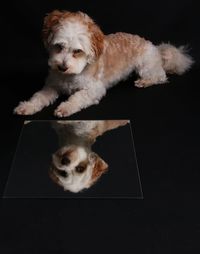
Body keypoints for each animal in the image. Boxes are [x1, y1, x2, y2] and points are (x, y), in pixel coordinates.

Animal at [13, 9, 192, 117]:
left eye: (77, 51)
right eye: (59, 46)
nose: (62, 67)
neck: (70, 76)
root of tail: (155, 47)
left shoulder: (94, 89)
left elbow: (78, 97)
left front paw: (65, 107)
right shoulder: (52, 86)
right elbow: (39, 96)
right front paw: (27, 106)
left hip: (145, 66)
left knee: (161, 76)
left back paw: (145, 81)